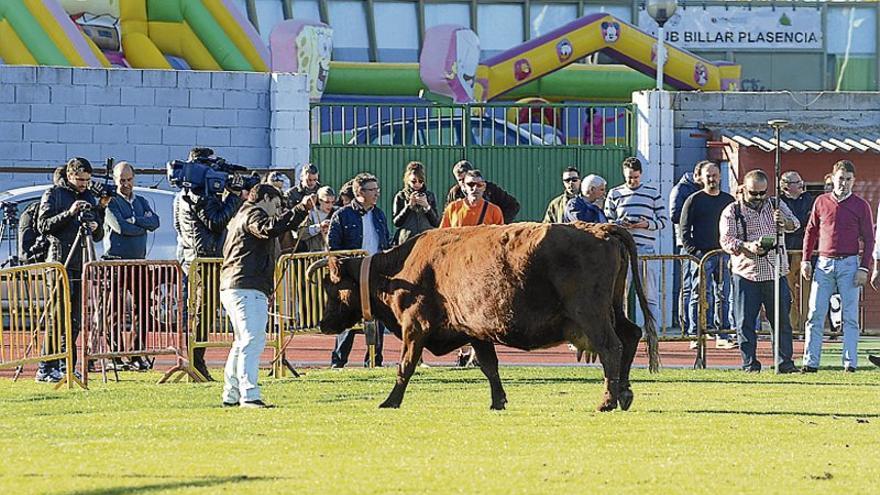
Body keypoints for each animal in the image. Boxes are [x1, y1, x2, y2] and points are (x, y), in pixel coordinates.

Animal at [306, 223, 656, 412]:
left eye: (331, 288)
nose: (323, 324)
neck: (399, 270)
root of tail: (600, 229)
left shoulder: (415, 328)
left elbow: (405, 366)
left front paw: (390, 401)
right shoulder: (475, 332)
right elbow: (490, 366)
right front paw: (498, 401)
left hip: (592, 315)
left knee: (612, 348)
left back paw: (608, 400)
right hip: (614, 310)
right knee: (630, 336)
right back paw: (624, 393)